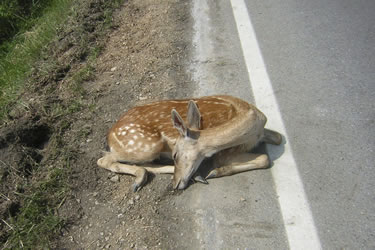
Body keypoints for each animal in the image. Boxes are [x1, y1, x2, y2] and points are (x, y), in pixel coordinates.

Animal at [97, 95, 282, 191]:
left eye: (175, 154)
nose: (173, 186)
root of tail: (109, 136)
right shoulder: (224, 153)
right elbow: (265, 158)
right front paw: (215, 172)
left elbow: (279, 137)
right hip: (146, 145)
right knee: (103, 159)